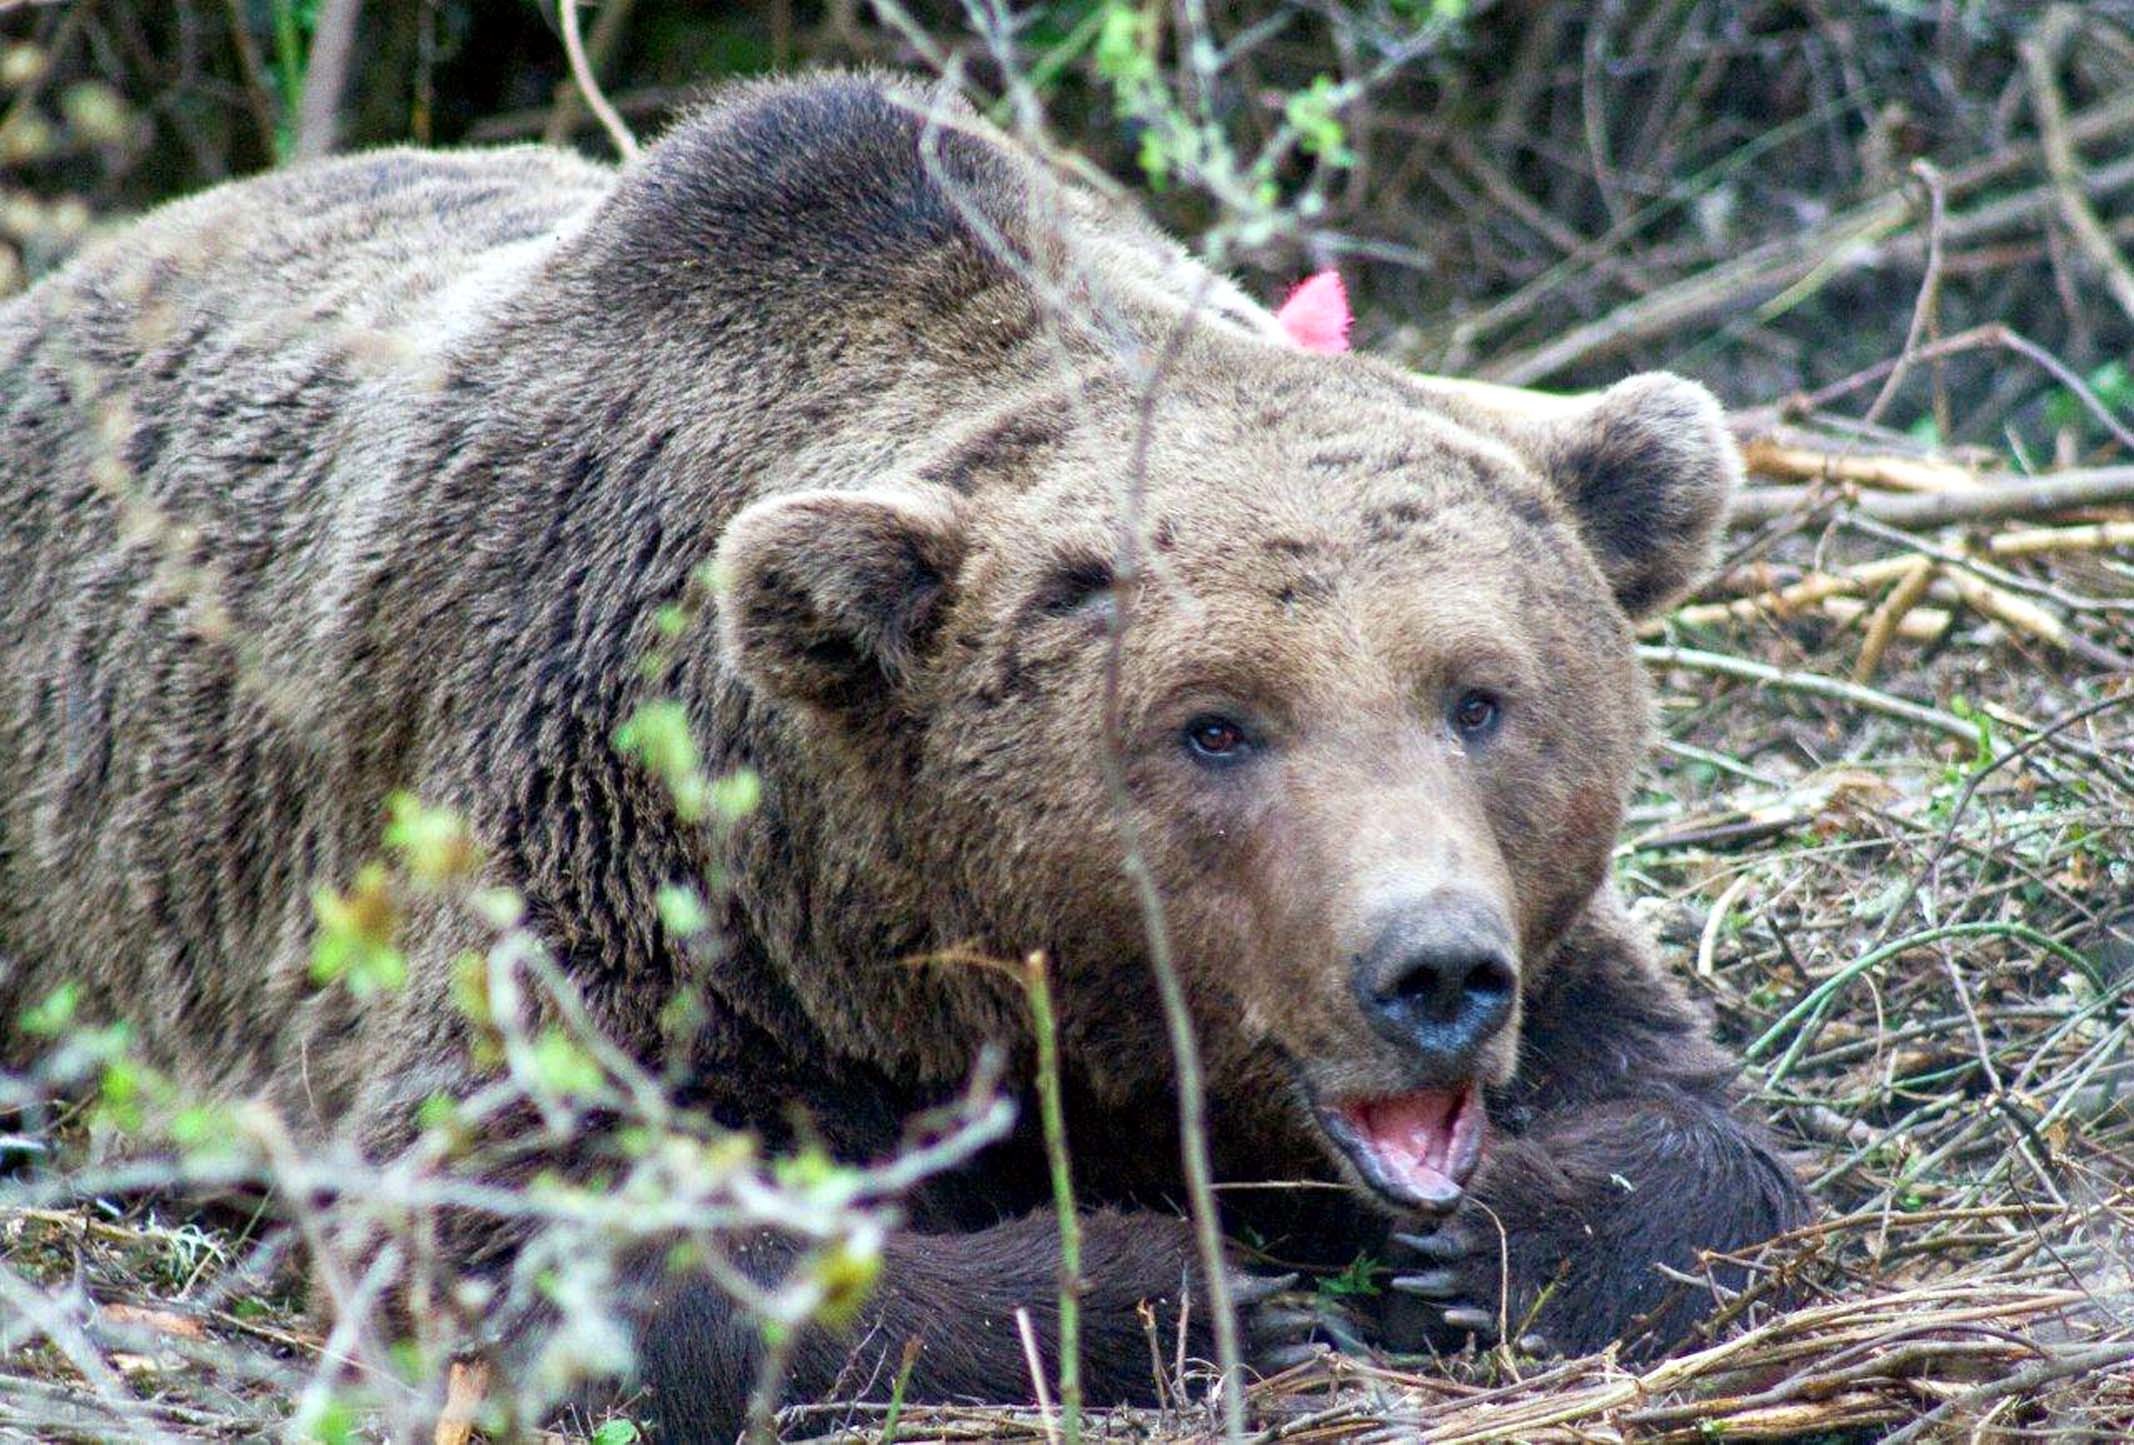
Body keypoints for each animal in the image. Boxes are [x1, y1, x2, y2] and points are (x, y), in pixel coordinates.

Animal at [0, 76, 1809, 1434]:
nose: (1428, 972)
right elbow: (533, 1217)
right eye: (1213, 725)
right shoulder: (607, 837)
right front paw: (1180, 1291)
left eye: (1477, 698)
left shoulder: (1548, 938)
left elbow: (1695, 1113)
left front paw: (1498, 1239)